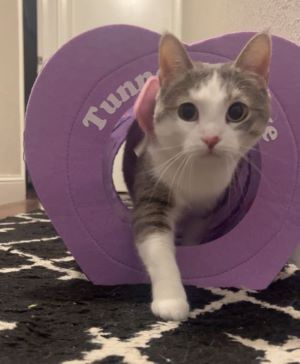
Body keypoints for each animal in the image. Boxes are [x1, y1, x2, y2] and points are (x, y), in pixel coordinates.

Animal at [130, 32, 270, 322]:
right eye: (187, 111)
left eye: (237, 111)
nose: (211, 138)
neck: (199, 172)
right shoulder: (153, 185)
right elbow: (156, 242)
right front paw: (171, 300)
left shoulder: (206, 209)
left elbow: (196, 234)